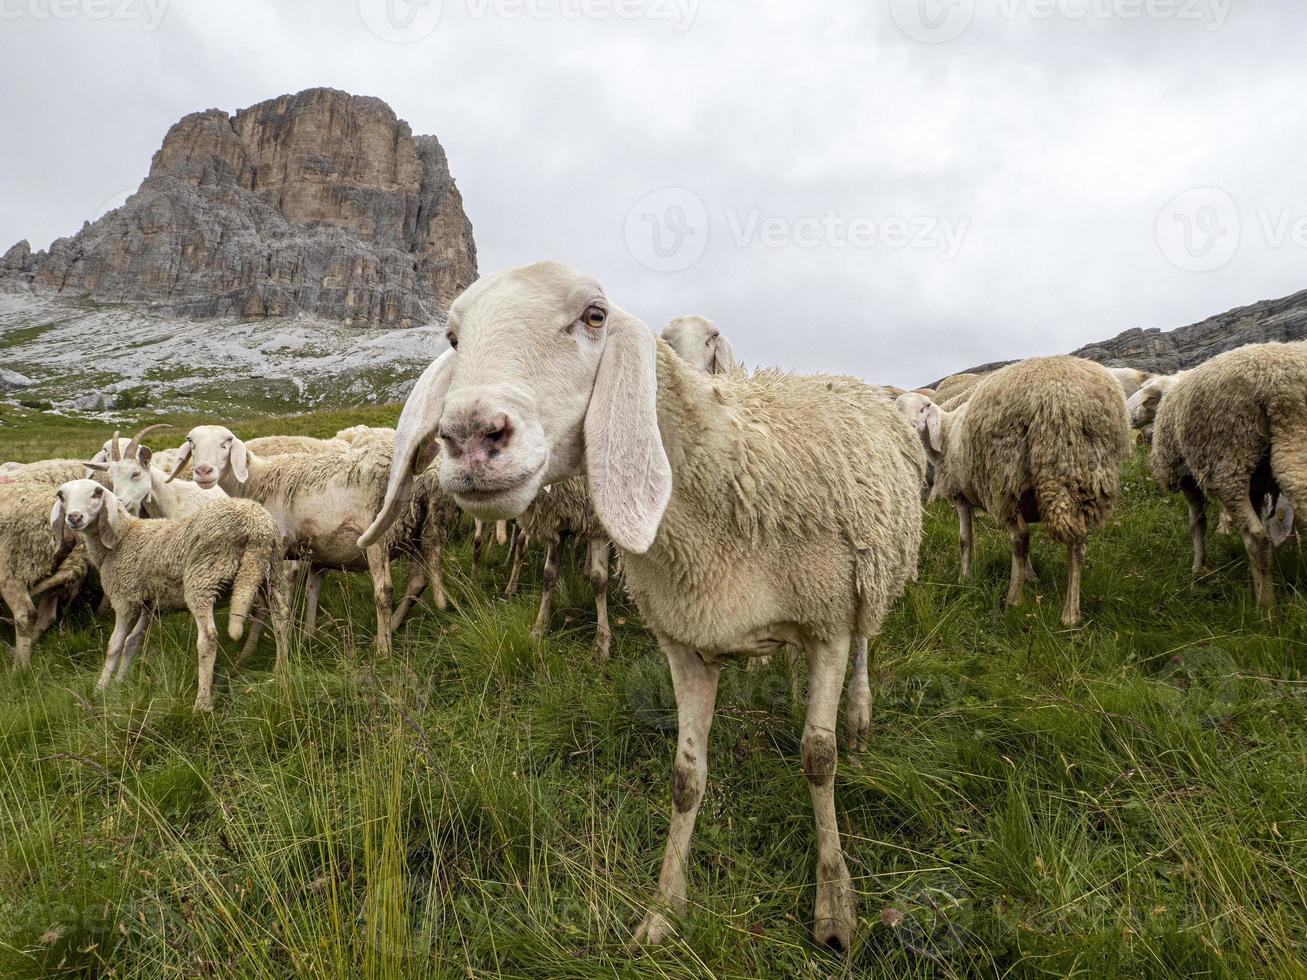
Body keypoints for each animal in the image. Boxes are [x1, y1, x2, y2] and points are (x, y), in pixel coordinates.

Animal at [54, 480, 288, 710]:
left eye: (97, 493)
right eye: (61, 495)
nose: (74, 517)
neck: (123, 538)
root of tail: (256, 524)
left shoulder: (124, 599)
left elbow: (115, 646)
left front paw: (100, 690)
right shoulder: (150, 604)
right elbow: (132, 642)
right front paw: (120, 683)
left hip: (203, 578)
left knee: (208, 640)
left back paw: (202, 704)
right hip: (271, 573)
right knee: (281, 622)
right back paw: (280, 672)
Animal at [360, 261, 930, 951]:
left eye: (595, 316)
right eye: (452, 337)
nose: (471, 437)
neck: (726, 481)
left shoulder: (826, 626)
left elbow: (818, 762)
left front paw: (835, 907)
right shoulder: (684, 641)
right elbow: (686, 779)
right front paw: (662, 911)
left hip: (869, 574)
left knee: (866, 643)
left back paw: (859, 715)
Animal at [899, 358, 1134, 624]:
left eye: (924, 408)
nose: (909, 428)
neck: (946, 433)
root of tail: (1060, 401)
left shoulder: (960, 495)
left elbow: (965, 540)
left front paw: (964, 578)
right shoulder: (1026, 500)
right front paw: (1031, 576)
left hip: (1003, 475)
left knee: (1021, 538)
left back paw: (1013, 601)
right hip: (1083, 475)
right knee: (1077, 541)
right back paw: (1070, 614)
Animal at [1124, 342, 1307, 606]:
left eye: (1147, 396)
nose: (1128, 417)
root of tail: (1278, 385)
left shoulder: (1188, 477)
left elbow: (1197, 523)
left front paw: (1198, 570)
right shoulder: (1255, 484)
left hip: (1227, 461)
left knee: (1257, 537)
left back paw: (1265, 606)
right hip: (1292, 443)